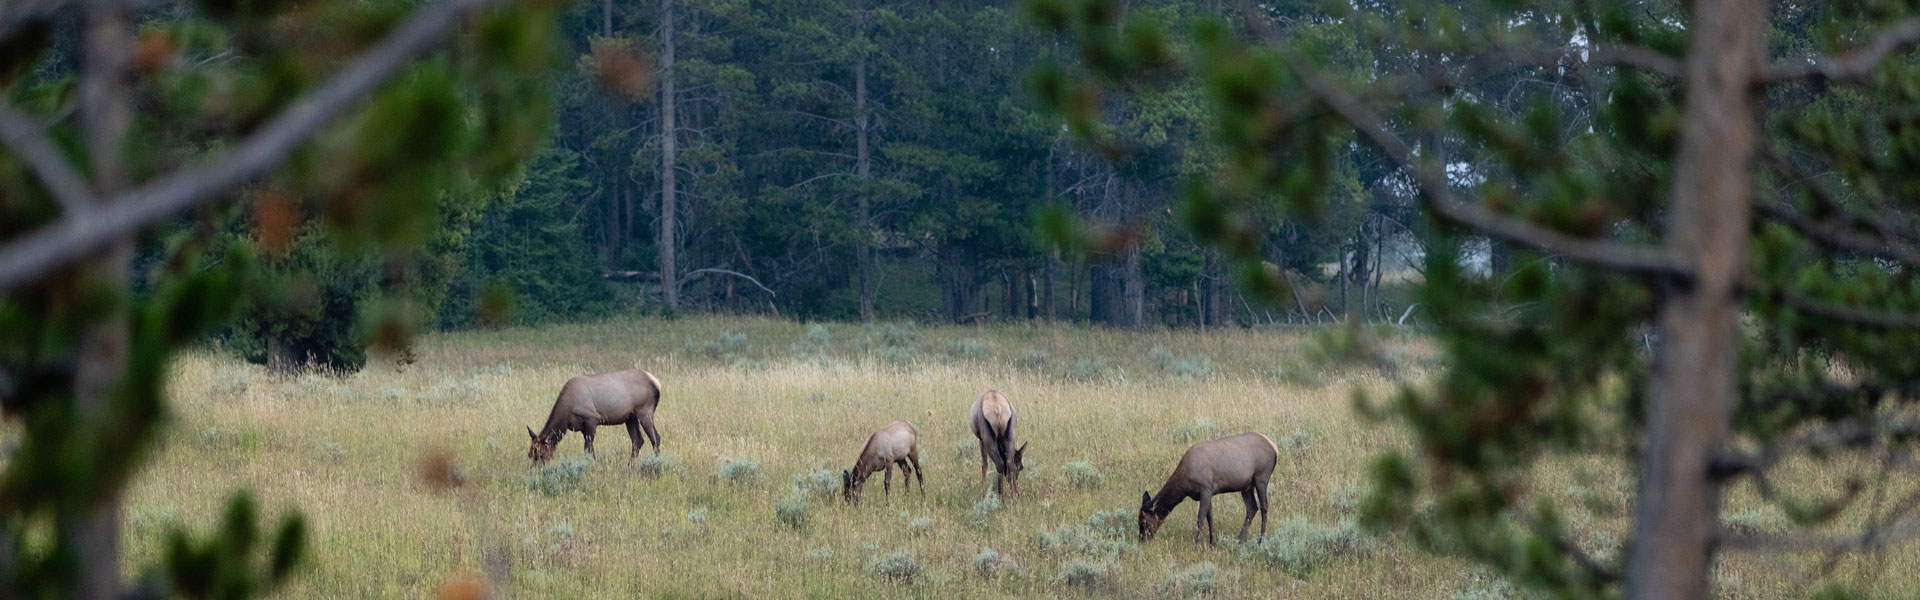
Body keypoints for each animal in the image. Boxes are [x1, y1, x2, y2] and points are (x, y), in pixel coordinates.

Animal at [529, 365, 664, 463]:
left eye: (541, 455)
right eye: (530, 455)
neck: (566, 414)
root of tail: (656, 383)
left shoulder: (591, 418)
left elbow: (587, 448)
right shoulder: (583, 427)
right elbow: (590, 449)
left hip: (644, 412)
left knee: (655, 438)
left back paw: (656, 463)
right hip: (630, 417)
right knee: (638, 440)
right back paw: (630, 465)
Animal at [1128, 432, 1282, 546]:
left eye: (1144, 522)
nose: (1142, 539)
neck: (1186, 483)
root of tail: (1275, 448)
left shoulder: (1206, 488)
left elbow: (1201, 518)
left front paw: (1197, 545)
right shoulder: (1209, 492)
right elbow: (1210, 516)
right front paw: (1212, 542)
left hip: (1261, 478)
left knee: (1264, 507)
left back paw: (1260, 541)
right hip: (1246, 486)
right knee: (1252, 508)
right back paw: (1239, 540)